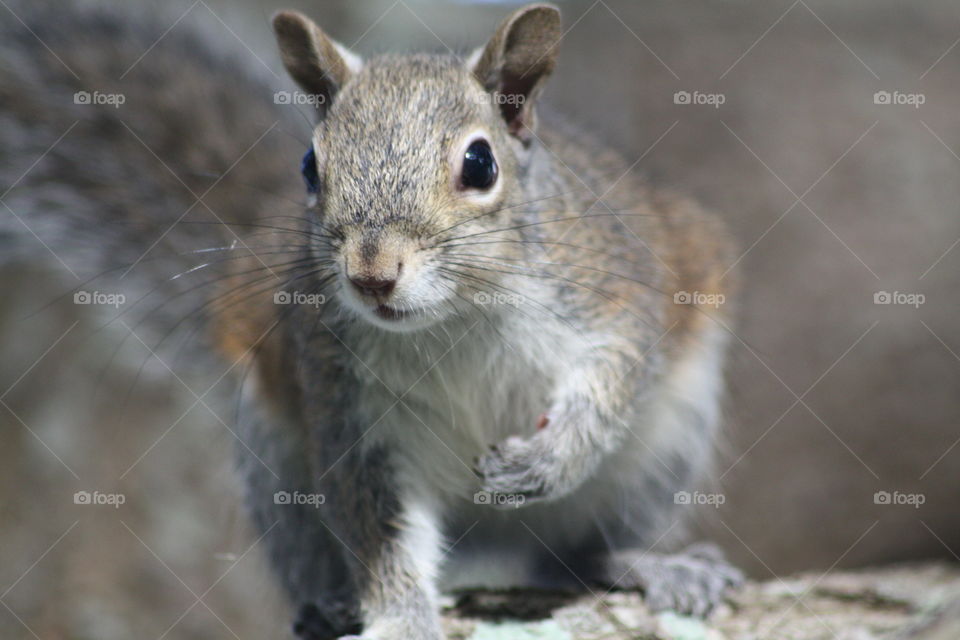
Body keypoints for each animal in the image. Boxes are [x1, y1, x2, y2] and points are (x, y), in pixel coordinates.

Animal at [1, 1, 744, 640]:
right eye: (309, 165)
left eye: (480, 163)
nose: (371, 275)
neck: (452, 318)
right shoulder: (348, 407)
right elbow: (379, 533)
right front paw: (401, 619)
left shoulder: (609, 292)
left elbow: (613, 383)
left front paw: (548, 459)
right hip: (274, 463)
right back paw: (328, 606)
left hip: (665, 448)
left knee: (570, 557)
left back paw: (646, 565)